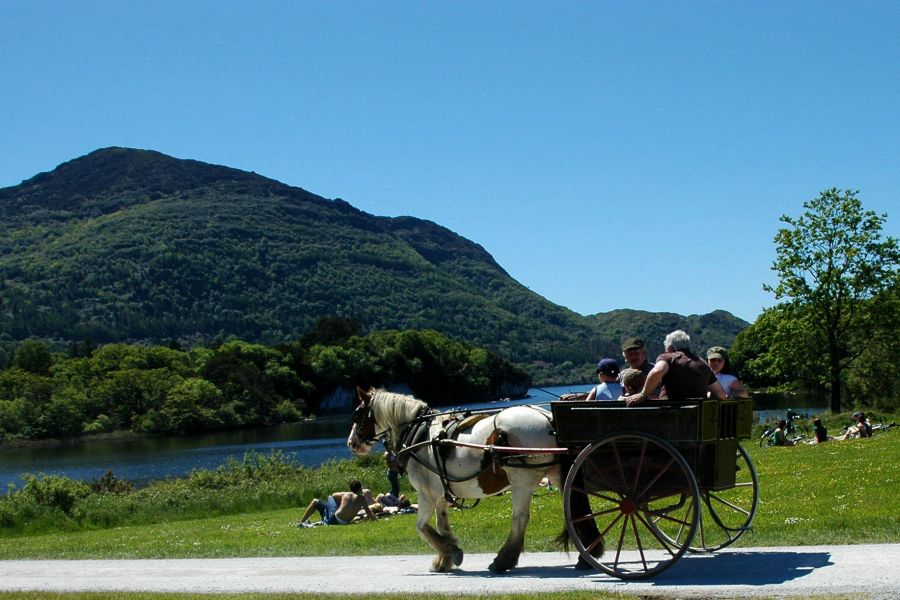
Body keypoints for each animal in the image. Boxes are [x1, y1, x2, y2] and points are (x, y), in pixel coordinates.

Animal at [346, 386, 564, 576]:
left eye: (358, 415)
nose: (351, 443)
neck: (419, 434)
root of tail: (546, 417)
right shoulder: (441, 494)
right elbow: (441, 524)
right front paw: (444, 558)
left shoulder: (426, 494)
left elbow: (421, 527)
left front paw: (451, 551)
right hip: (555, 473)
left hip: (521, 479)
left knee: (520, 518)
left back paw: (503, 560)